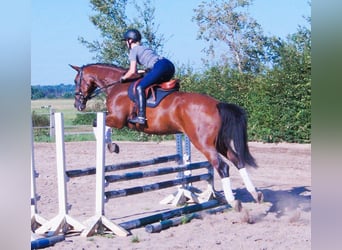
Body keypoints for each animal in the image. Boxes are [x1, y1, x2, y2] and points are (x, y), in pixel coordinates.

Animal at [69, 63, 262, 211]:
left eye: (76, 81)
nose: (77, 105)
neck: (117, 85)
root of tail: (217, 104)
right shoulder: (116, 119)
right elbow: (101, 126)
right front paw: (111, 146)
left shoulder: (117, 119)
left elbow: (97, 124)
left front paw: (110, 145)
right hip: (218, 142)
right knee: (237, 160)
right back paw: (255, 194)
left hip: (202, 142)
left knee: (222, 166)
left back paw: (233, 201)